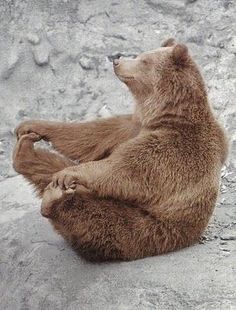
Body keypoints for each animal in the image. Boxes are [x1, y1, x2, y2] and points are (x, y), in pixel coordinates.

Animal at [12, 38, 228, 262]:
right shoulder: (130, 127)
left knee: (99, 219)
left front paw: (70, 173)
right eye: (141, 55)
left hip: (149, 229)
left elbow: (125, 170)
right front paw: (31, 126)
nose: (117, 60)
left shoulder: (175, 148)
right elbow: (89, 135)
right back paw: (25, 151)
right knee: (52, 168)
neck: (163, 114)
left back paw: (53, 196)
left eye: (144, 60)